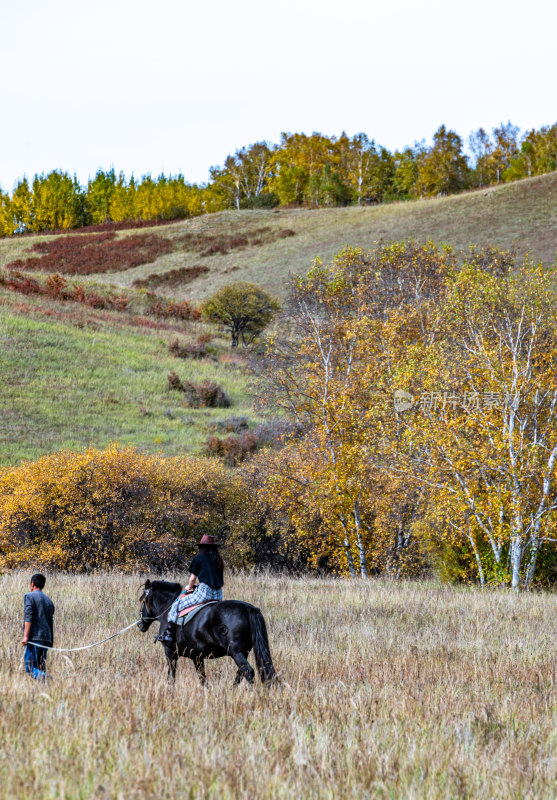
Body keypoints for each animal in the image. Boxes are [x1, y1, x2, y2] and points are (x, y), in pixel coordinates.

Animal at [137, 580, 276, 684]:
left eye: (142, 600)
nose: (140, 624)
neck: (168, 606)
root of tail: (249, 609)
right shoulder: (196, 657)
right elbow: (202, 678)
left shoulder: (170, 653)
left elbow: (171, 677)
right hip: (243, 652)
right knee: (241, 673)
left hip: (236, 652)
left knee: (248, 672)